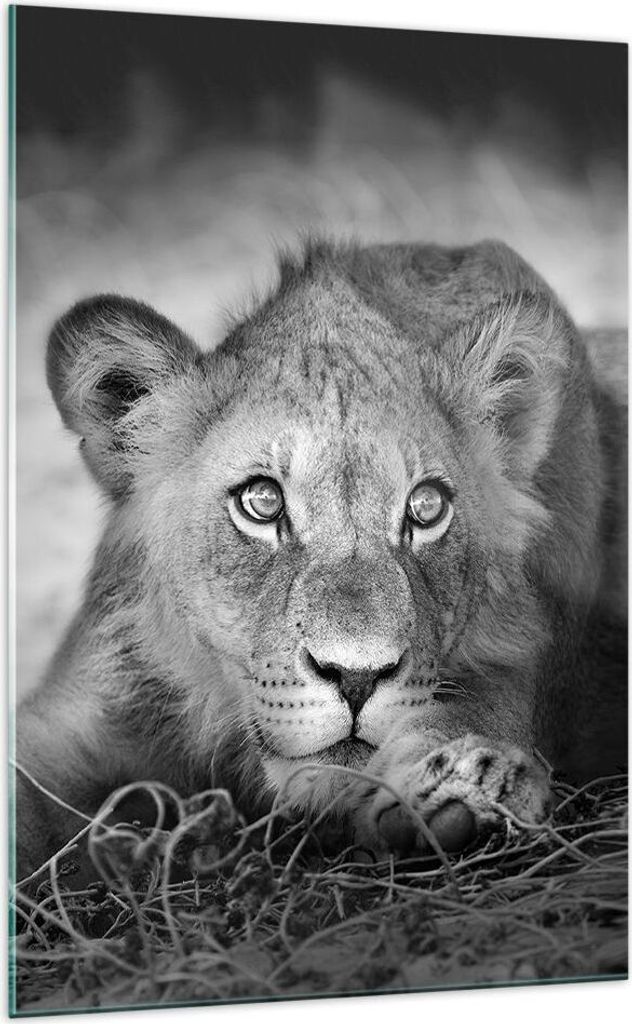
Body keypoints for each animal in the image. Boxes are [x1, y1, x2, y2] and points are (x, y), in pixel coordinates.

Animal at [15, 238, 627, 878]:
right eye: (261, 502)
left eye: (427, 507)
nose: (357, 678)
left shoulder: (526, 647)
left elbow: (478, 707)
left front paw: (465, 789)